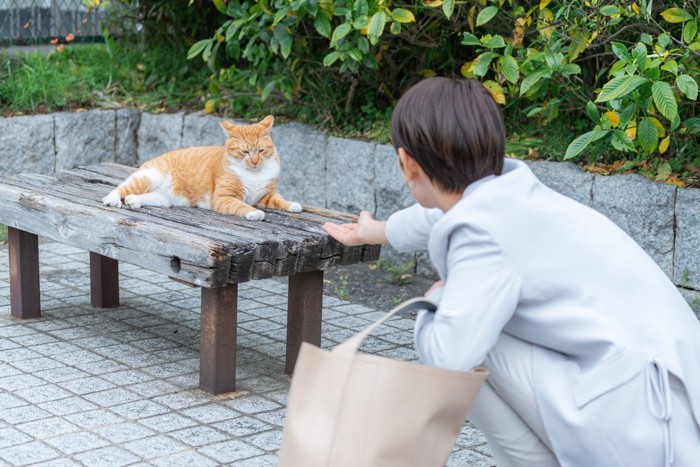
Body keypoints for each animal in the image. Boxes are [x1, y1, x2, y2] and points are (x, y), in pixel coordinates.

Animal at [102, 115, 300, 221]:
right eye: (245, 151)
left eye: (261, 150)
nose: (255, 161)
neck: (253, 174)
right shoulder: (224, 198)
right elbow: (241, 205)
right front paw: (255, 213)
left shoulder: (266, 194)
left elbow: (279, 200)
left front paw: (292, 205)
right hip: (149, 177)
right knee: (121, 188)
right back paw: (112, 199)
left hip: (164, 199)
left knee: (144, 196)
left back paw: (133, 201)